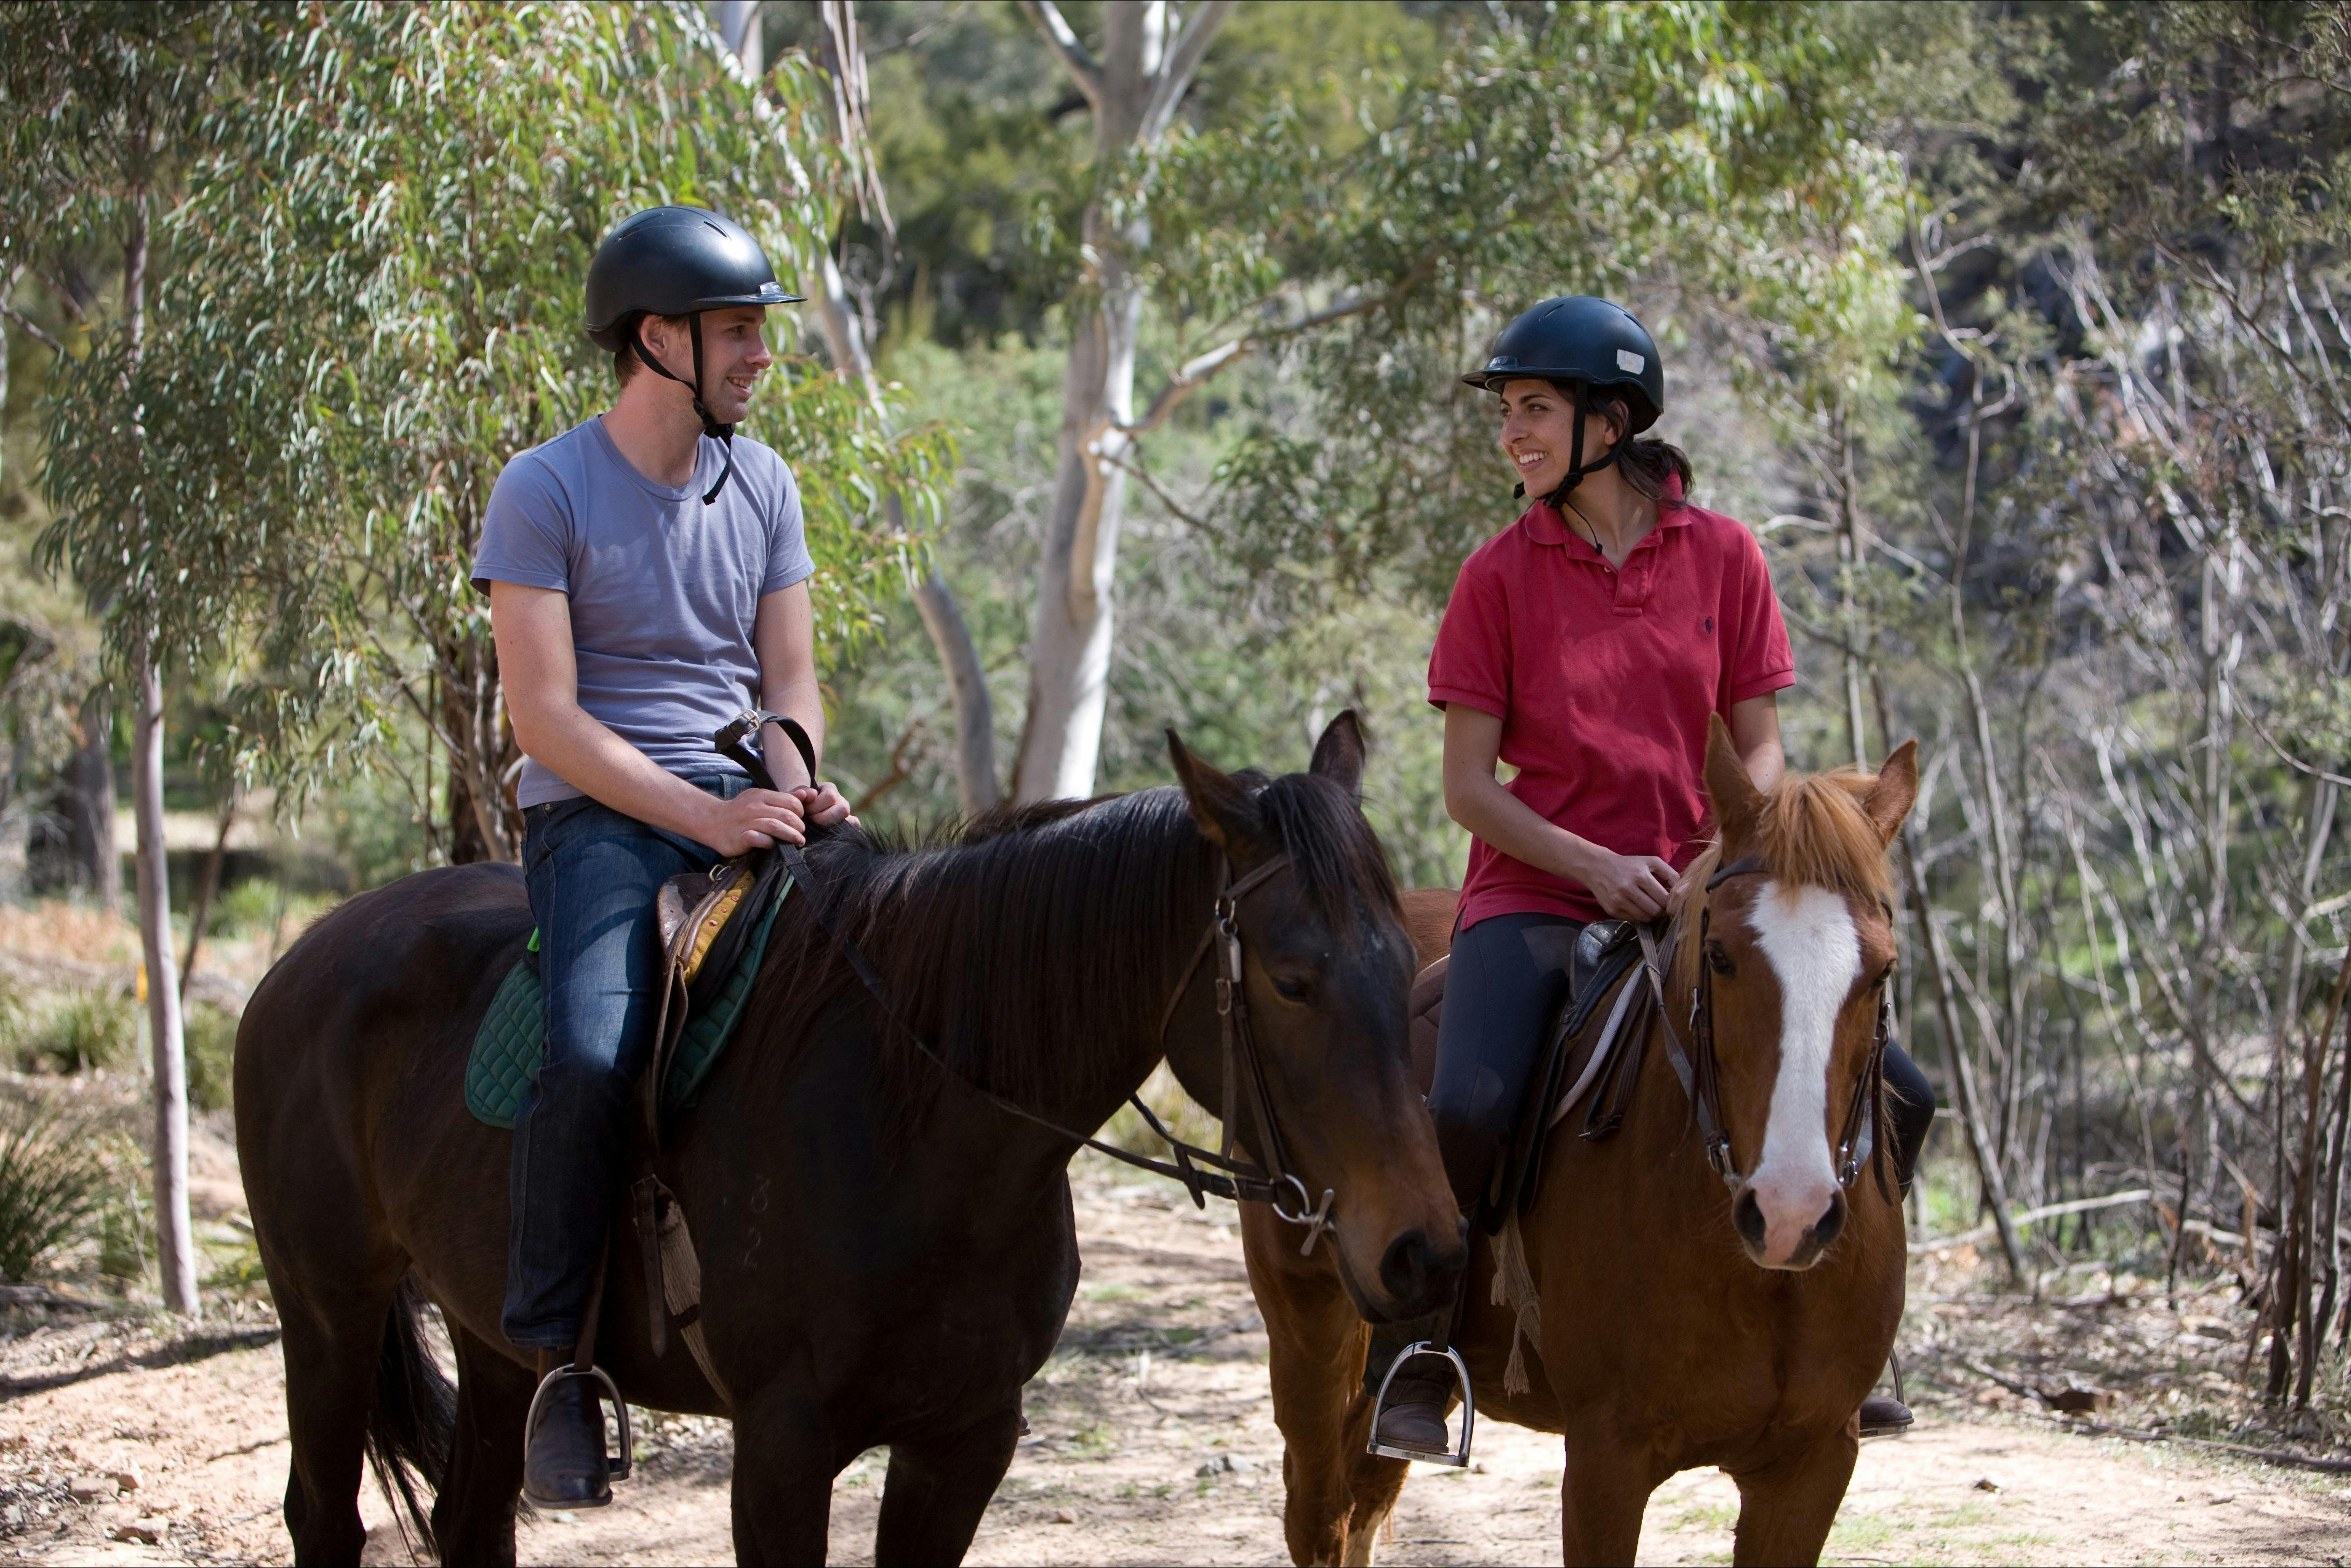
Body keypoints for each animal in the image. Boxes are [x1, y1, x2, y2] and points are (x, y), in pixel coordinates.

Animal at [234, 712, 1464, 1567]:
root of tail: (304, 957)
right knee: (324, 1516)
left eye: (1406, 964)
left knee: (470, 1516)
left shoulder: (963, 1440)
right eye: (1293, 979)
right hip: (327, 1311)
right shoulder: (781, 1446)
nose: (1426, 1250)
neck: (917, 1130)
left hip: (492, 1339)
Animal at [1238, 718, 1920, 1566]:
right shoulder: (1606, 1460)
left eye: (1882, 969)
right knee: (1319, 1515)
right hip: (1310, 1335)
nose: (1790, 1213)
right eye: (1722, 957)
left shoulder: (1812, 1464)